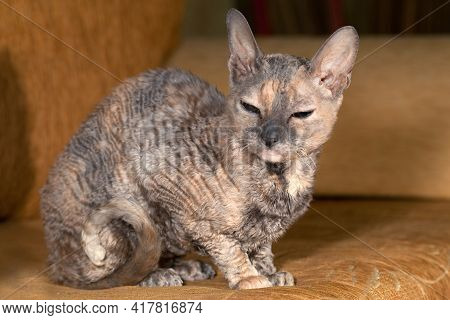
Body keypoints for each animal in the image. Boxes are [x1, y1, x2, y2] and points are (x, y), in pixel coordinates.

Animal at [41, 9, 358, 290]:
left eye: (300, 114)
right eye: (251, 108)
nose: (269, 137)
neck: (283, 179)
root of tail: (53, 260)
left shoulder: (262, 232)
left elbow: (261, 245)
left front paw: (269, 271)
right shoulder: (165, 184)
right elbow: (227, 244)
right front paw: (249, 277)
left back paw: (186, 268)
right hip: (119, 204)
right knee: (113, 269)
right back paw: (158, 275)